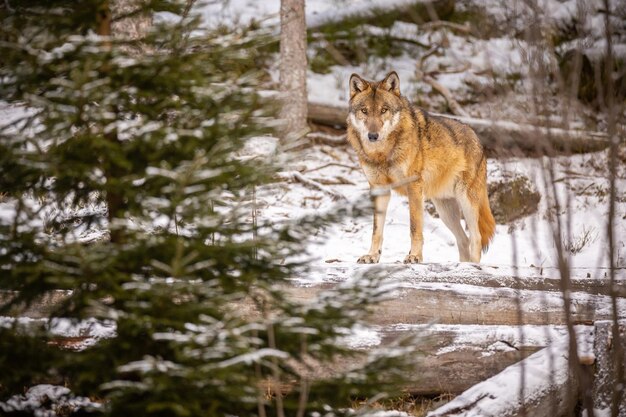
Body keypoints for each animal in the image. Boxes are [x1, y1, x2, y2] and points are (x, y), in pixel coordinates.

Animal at [346, 70, 492, 262]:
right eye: (364, 111)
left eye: (384, 110)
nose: (373, 136)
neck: (382, 154)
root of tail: (477, 137)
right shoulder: (379, 189)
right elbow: (376, 230)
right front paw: (372, 256)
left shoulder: (413, 187)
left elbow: (415, 227)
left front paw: (414, 256)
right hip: (445, 211)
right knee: (463, 239)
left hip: (466, 201)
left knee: (476, 238)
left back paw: (473, 266)